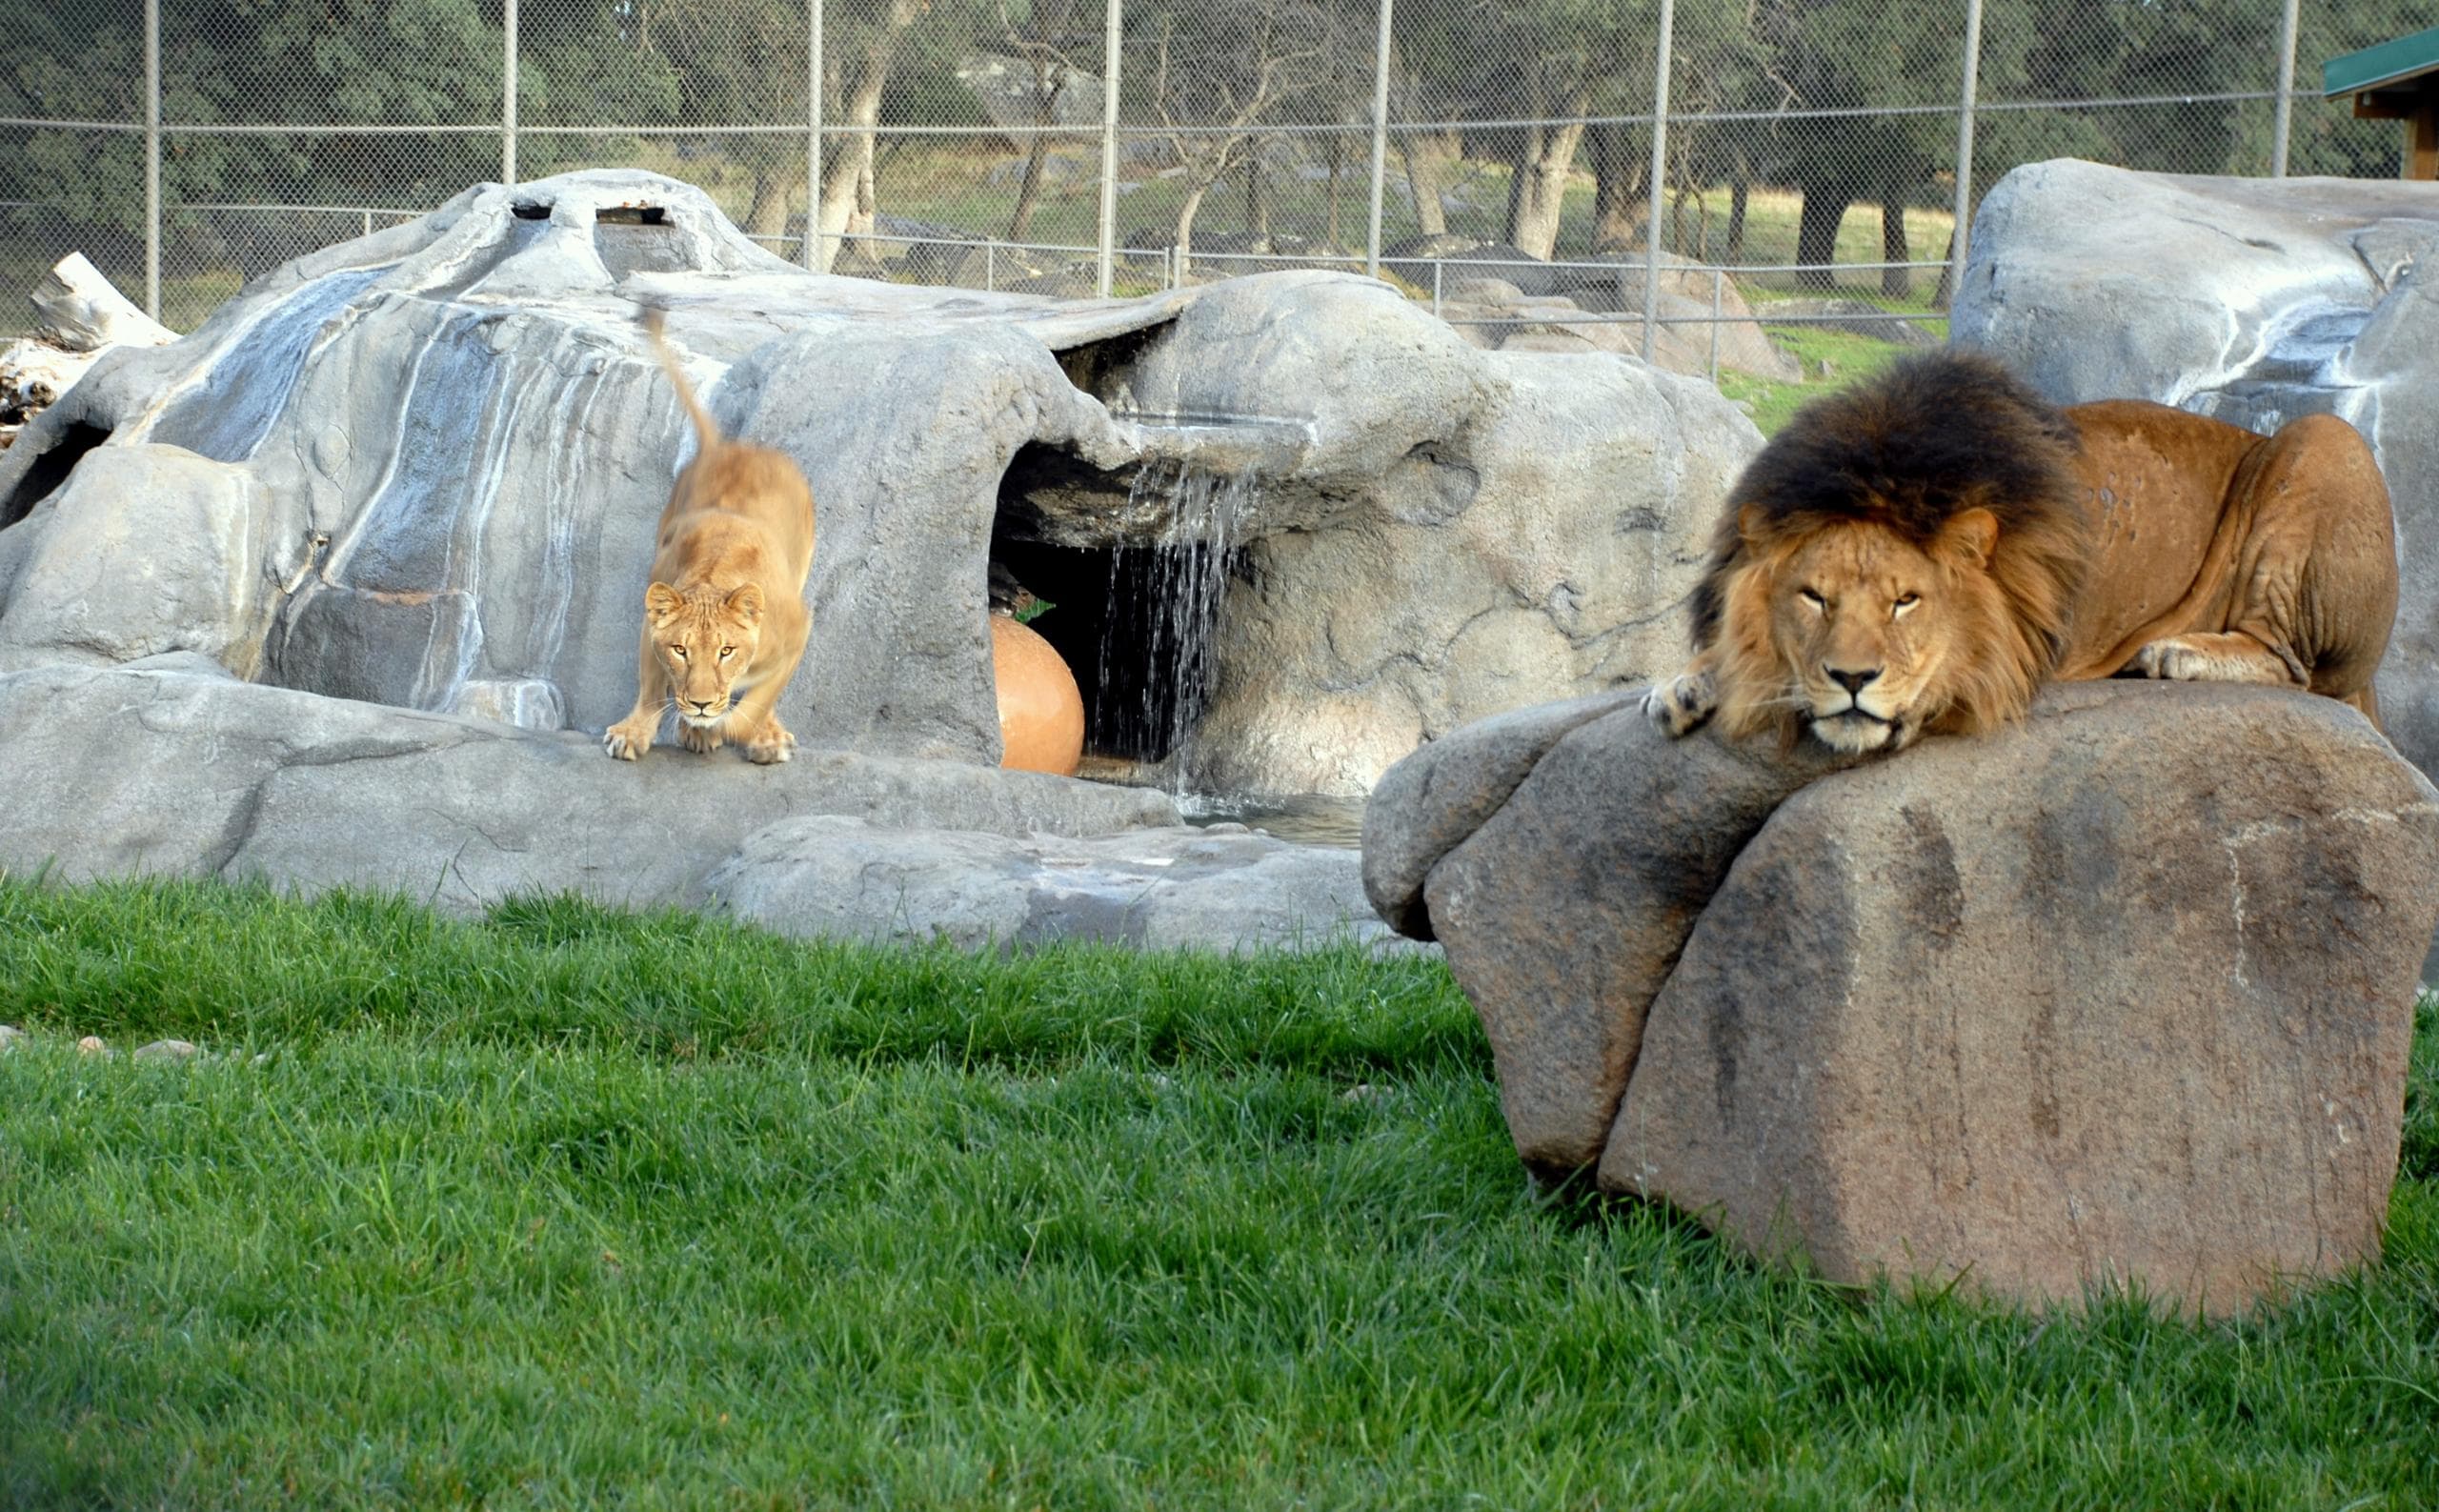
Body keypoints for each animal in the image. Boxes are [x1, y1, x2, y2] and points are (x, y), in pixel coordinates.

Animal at [603, 309, 816, 764]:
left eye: (726, 650)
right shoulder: (652, 624)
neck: (714, 576)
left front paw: (740, 730)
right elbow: (652, 687)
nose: (700, 702)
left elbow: (757, 705)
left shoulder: (798, 630)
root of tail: (730, 445)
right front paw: (634, 733)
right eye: (681, 650)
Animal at [1646, 349, 2398, 755]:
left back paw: (2178, 653)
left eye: (1905, 602)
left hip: (2324, 442)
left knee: (2292, 665)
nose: (1853, 679)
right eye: (1814, 597)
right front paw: (1688, 680)